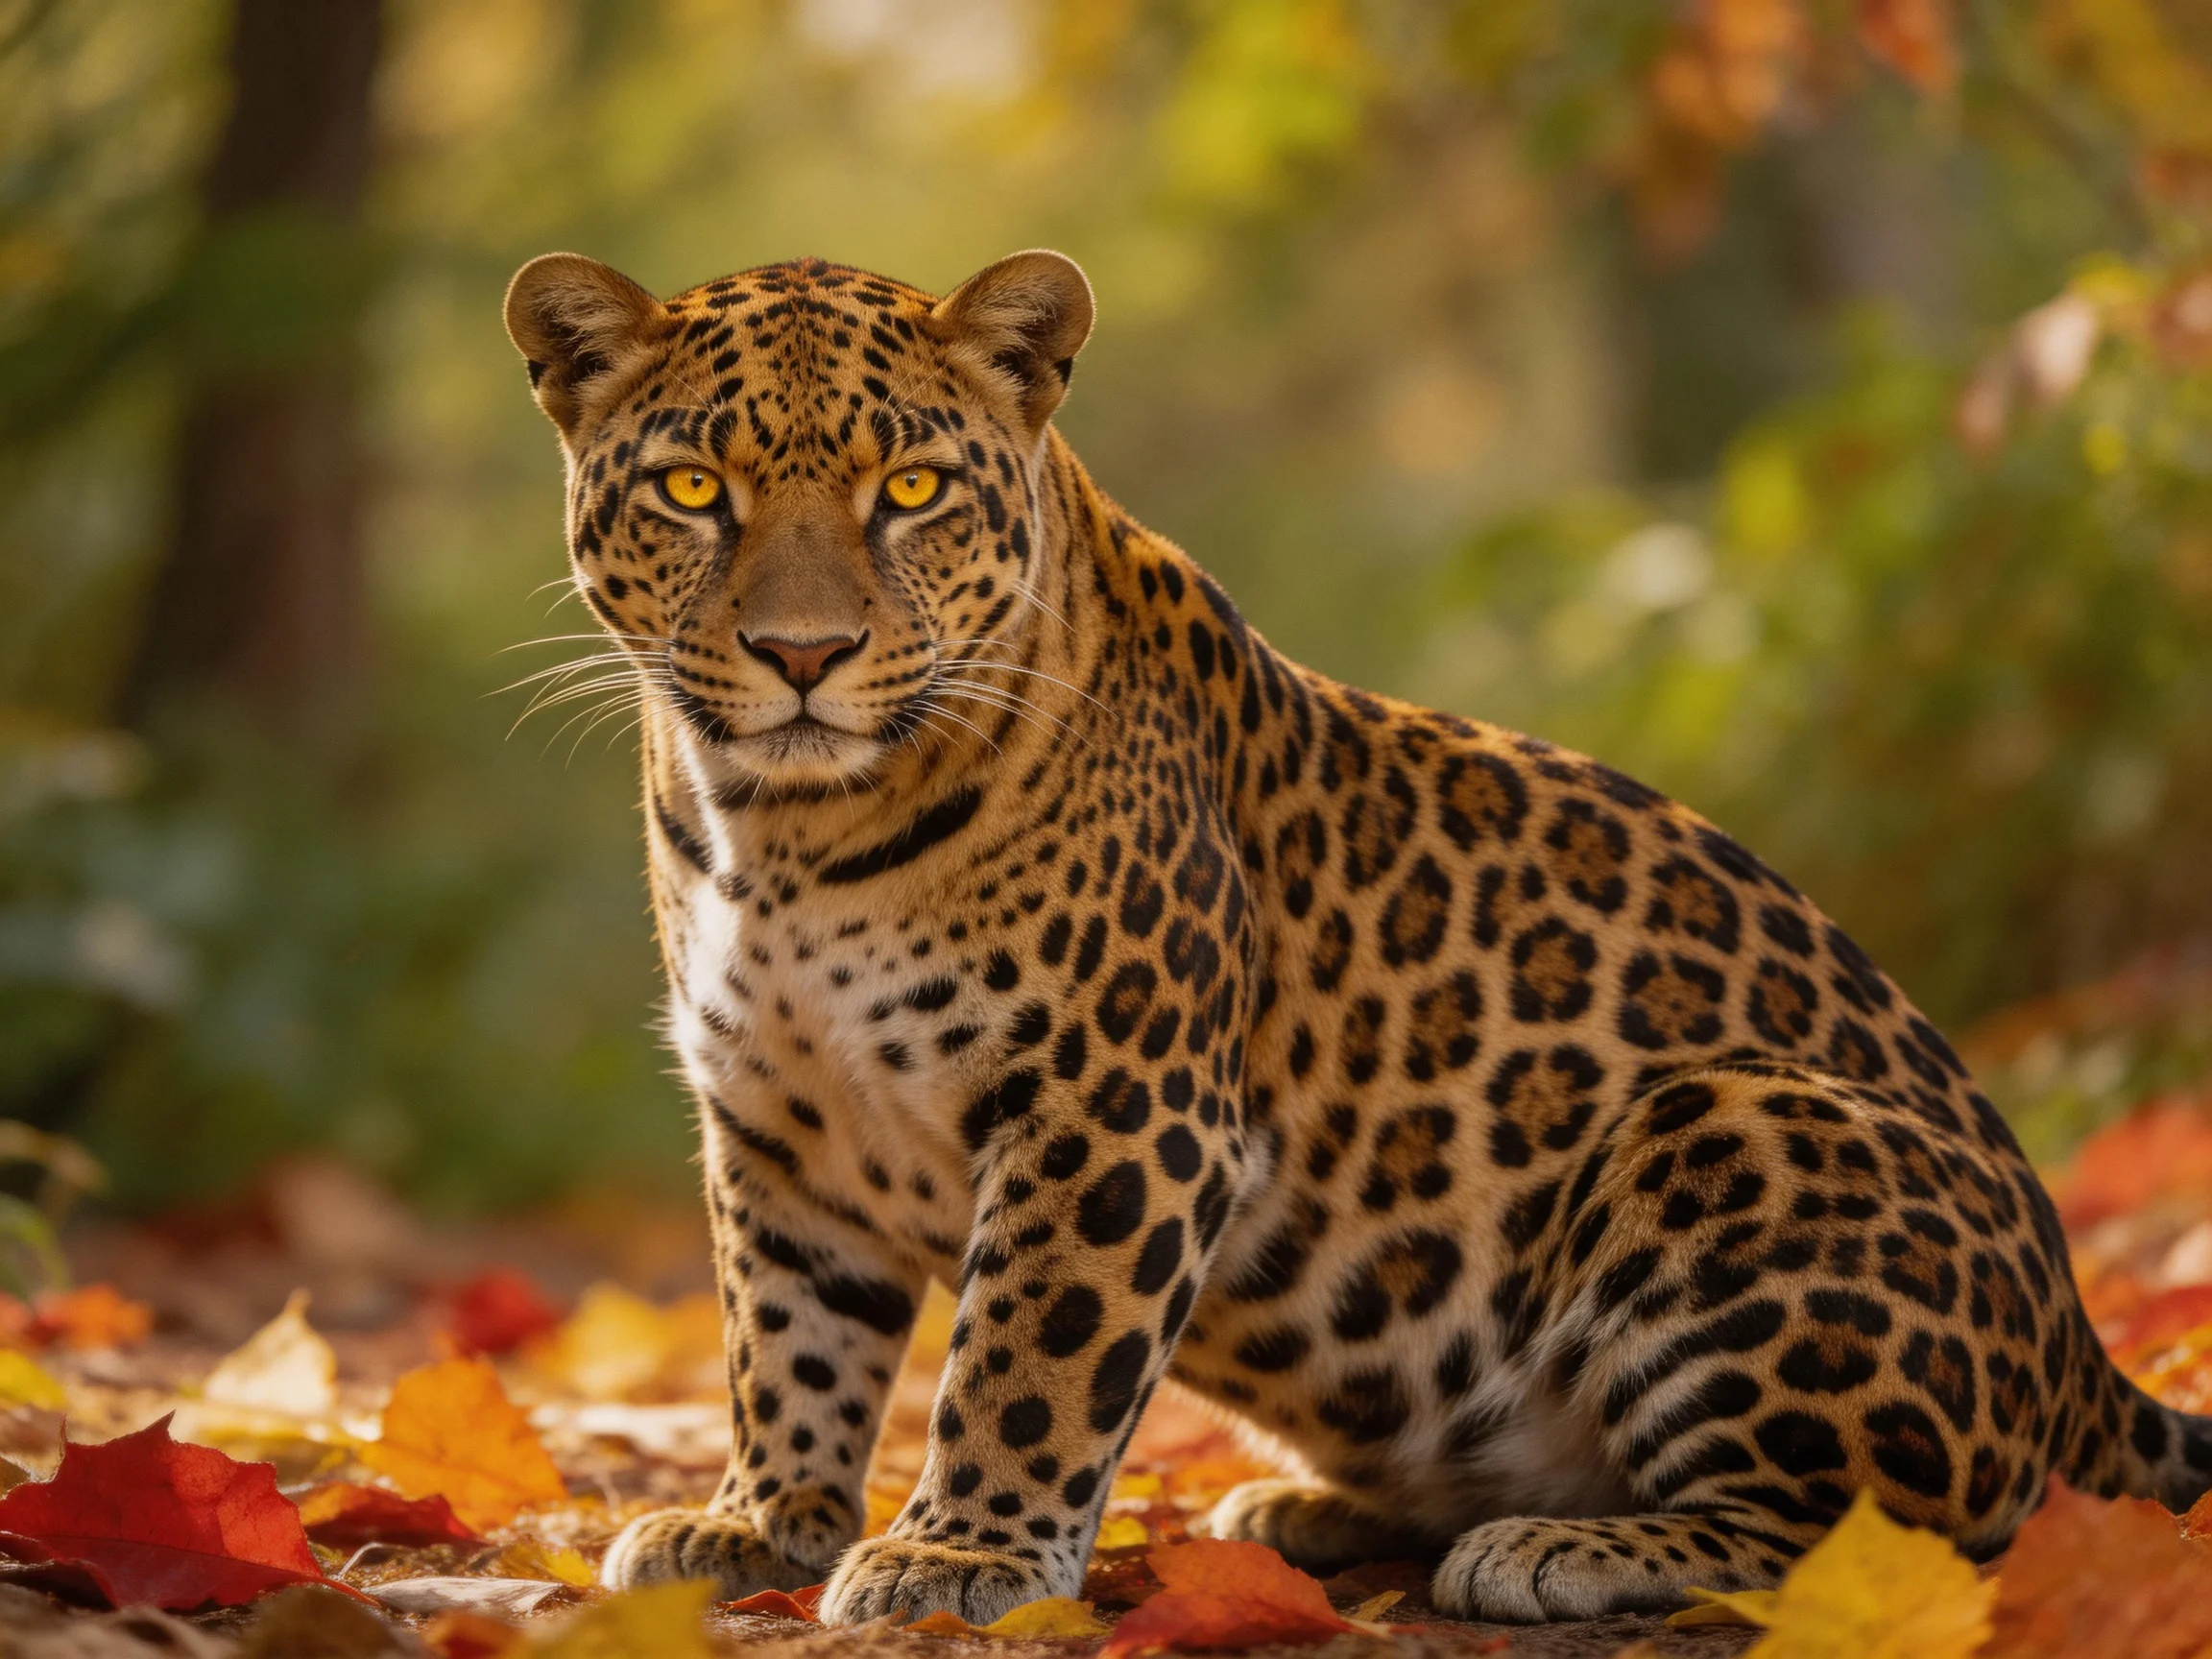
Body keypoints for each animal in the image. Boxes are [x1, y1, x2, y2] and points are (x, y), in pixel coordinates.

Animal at [501, 245, 2212, 1625]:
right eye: (694, 492)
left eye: (910, 492)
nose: (803, 655)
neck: (783, 835)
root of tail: (2085, 1355)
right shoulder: (777, 1124)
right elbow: (784, 1340)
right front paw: (757, 1523)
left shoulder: (1110, 1106)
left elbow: (1026, 1357)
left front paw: (957, 1552)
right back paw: (1311, 1511)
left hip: (1732, 1119)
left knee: (1874, 1529)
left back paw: (1564, 1551)